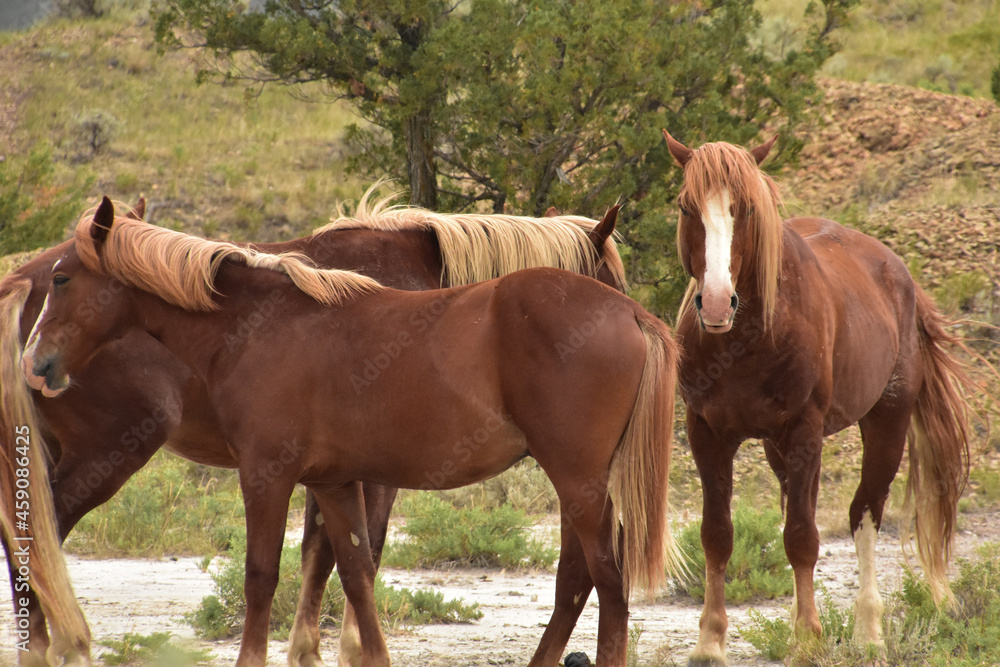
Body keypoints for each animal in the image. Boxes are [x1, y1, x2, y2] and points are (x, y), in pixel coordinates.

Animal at [17, 197, 680, 667]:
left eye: (64, 280)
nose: (37, 363)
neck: (257, 324)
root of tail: (631, 316)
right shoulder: (334, 483)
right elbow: (355, 572)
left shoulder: (269, 475)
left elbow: (266, 575)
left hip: (578, 481)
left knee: (605, 579)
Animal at [662, 130, 975, 665]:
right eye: (686, 206)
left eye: (747, 209)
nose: (718, 302)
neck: (746, 339)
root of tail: (900, 275)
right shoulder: (707, 434)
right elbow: (717, 535)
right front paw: (710, 641)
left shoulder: (804, 432)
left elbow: (802, 538)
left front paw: (808, 640)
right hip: (779, 448)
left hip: (885, 425)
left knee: (864, 513)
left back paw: (868, 633)